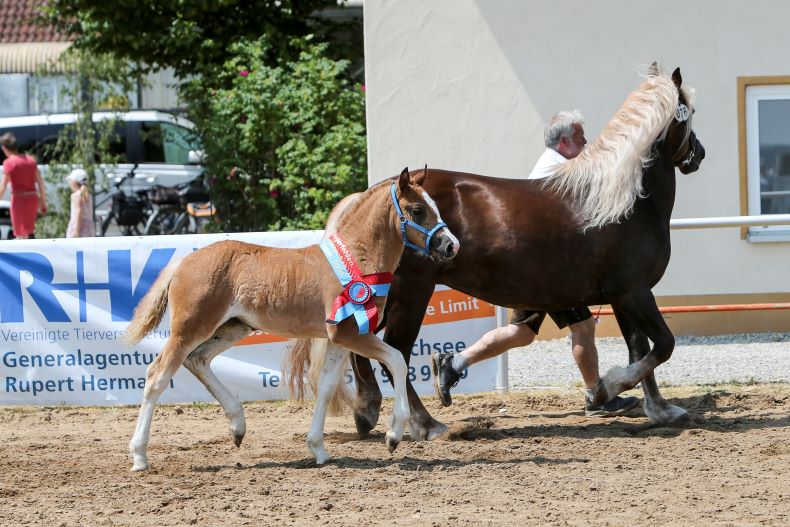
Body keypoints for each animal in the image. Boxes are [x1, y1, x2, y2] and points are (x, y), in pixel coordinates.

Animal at [123, 169, 458, 470]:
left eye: (436, 208)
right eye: (417, 210)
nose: (451, 245)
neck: (356, 258)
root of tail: (183, 261)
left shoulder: (339, 338)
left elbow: (326, 385)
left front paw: (318, 450)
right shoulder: (351, 333)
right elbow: (398, 361)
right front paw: (393, 435)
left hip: (232, 327)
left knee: (198, 360)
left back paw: (237, 427)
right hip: (190, 328)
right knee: (157, 375)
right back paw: (139, 456)